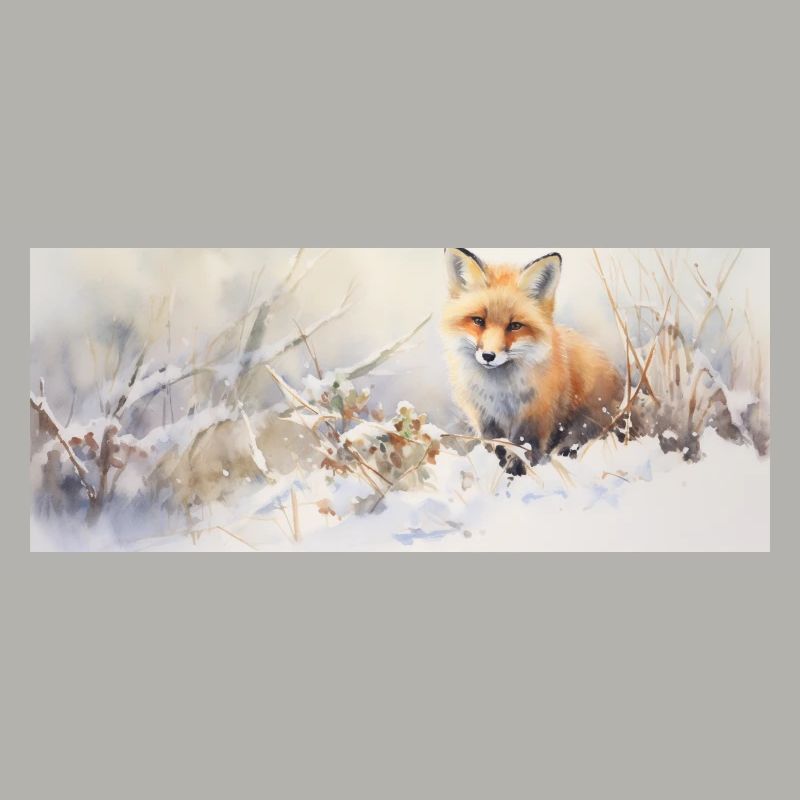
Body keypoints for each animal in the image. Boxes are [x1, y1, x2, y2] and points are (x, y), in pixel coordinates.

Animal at [442, 248, 624, 475]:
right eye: (478, 321)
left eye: (515, 326)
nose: (489, 356)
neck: (500, 393)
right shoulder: (485, 420)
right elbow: (497, 449)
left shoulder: (536, 420)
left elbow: (526, 452)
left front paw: (517, 476)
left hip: (584, 424)